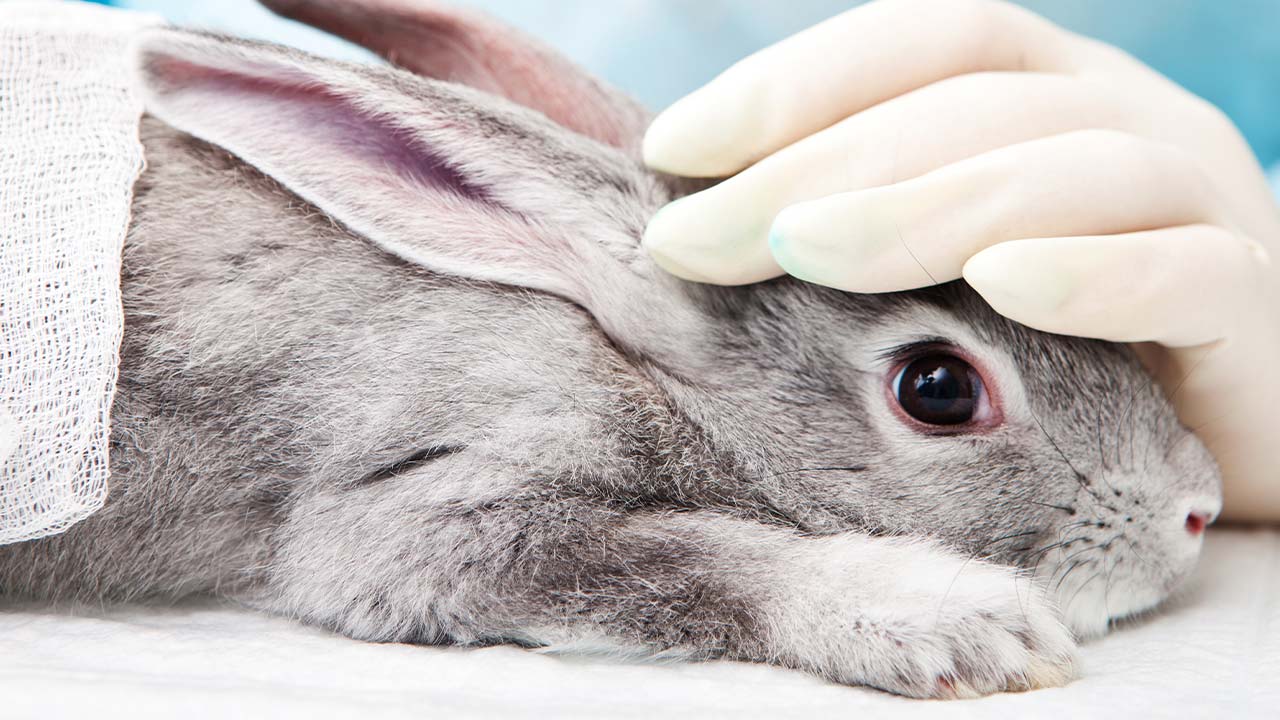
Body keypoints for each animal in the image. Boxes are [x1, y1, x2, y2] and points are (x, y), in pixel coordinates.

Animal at [0, 0, 1218, 696]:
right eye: (936, 388)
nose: (1197, 509)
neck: (636, 364)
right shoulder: (432, 505)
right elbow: (694, 559)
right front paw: (963, 625)